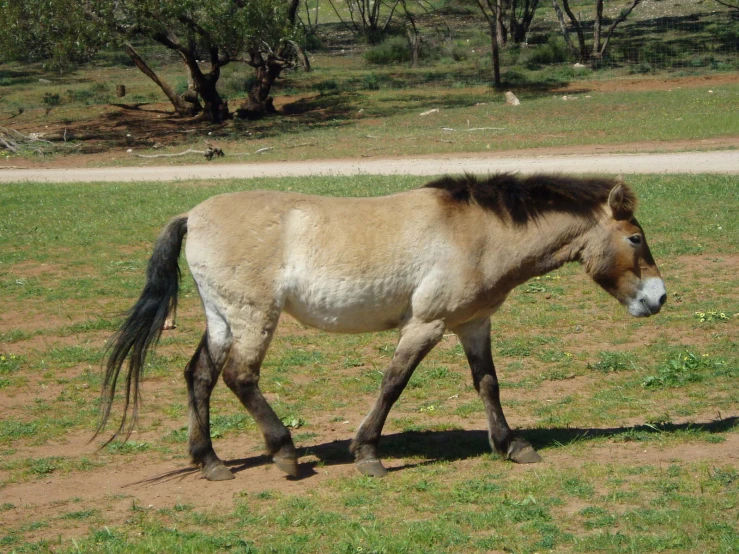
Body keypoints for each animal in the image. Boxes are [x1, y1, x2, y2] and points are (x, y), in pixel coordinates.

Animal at [95, 172, 668, 478]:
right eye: (635, 238)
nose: (659, 297)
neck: (478, 232)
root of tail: (192, 216)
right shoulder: (426, 324)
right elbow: (393, 384)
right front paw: (367, 453)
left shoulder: (473, 324)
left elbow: (488, 383)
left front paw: (511, 445)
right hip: (254, 318)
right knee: (240, 377)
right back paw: (285, 454)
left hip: (223, 319)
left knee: (200, 376)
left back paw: (209, 460)